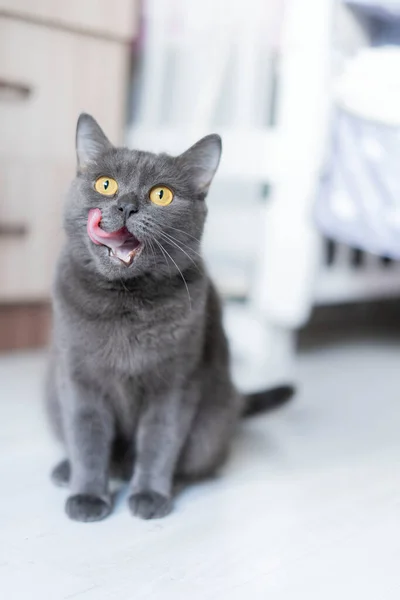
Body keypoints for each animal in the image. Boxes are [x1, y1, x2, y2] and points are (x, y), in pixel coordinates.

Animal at [47, 112, 292, 520]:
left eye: (161, 194)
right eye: (105, 184)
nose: (126, 206)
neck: (125, 304)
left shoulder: (175, 384)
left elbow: (160, 441)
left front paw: (149, 494)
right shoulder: (79, 379)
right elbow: (87, 439)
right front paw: (88, 496)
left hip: (211, 425)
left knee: (197, 464)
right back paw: (66, 470)